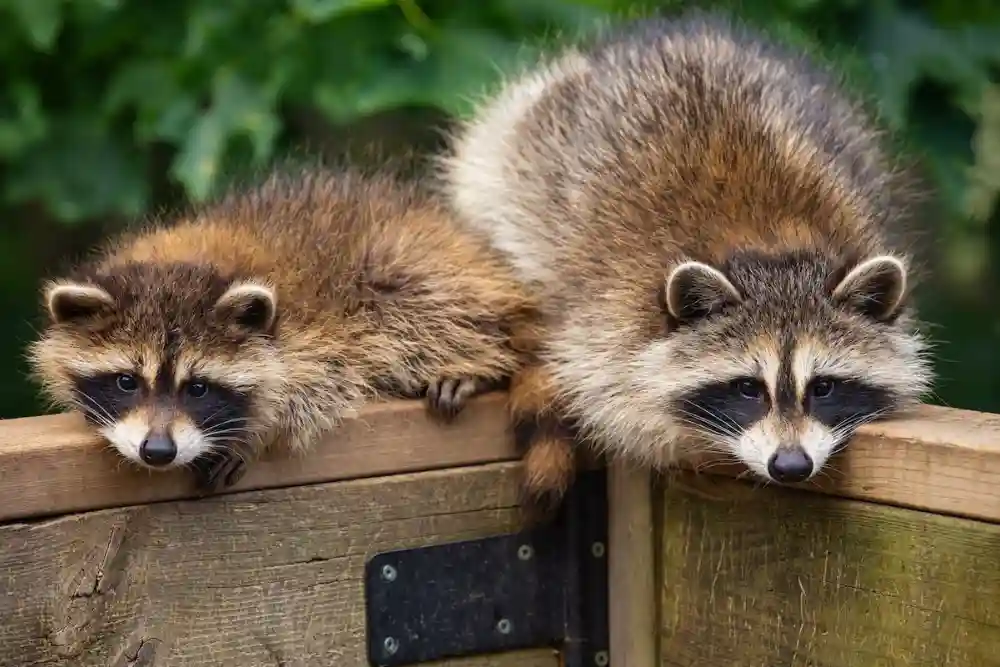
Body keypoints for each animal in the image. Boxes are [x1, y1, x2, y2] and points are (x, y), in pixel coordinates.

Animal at [28, 164, 537, 491]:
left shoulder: (320, 333)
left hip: (415, 266)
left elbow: (317, 390)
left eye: (198, 388)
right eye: (126, 382)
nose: (157, 451)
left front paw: (255, 433)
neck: (183, 262)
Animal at [440, 12, 934, 513]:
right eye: (748, 387)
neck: (773, 248)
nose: (791, 466)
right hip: (504, 157)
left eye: (823, 386)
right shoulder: (602, 317)